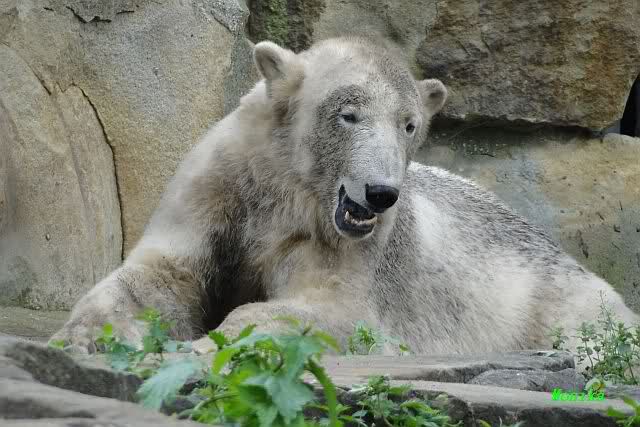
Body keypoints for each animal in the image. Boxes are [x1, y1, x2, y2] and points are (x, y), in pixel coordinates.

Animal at [51, 36, 639, 357]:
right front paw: (84, 336)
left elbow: (331, 313)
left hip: (556, 294)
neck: (284, 191)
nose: (381, 194)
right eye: (348, 114)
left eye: (409, 125)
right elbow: (161, 274)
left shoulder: (348, 247)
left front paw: (206, 342)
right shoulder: (217, 190)